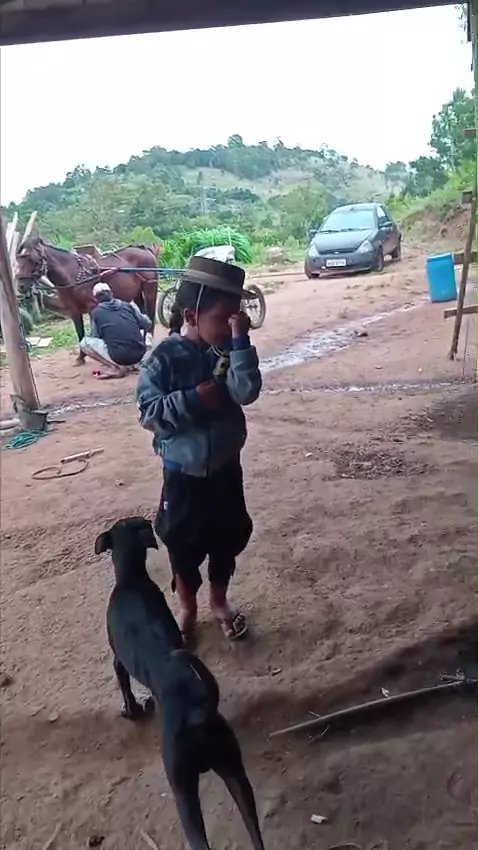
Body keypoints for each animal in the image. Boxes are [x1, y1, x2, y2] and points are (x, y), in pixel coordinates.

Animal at [16, 237, 159, 364]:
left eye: (33, 259)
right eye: (18, 259)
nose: (20, 286)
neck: (72, 275)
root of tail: (144, 249)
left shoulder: (92, 307)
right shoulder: (73, 310)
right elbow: (80, 333)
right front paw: (81, 357)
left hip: (150, 288)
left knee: (150, 313)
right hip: (136, 293)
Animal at [95, 516, 265, 850]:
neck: (131, 578)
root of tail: (197, 719)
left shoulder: (117, 661)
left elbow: (125, 688)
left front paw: (132, 710)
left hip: (182, 789)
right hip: (234, 772)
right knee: (255, 831)